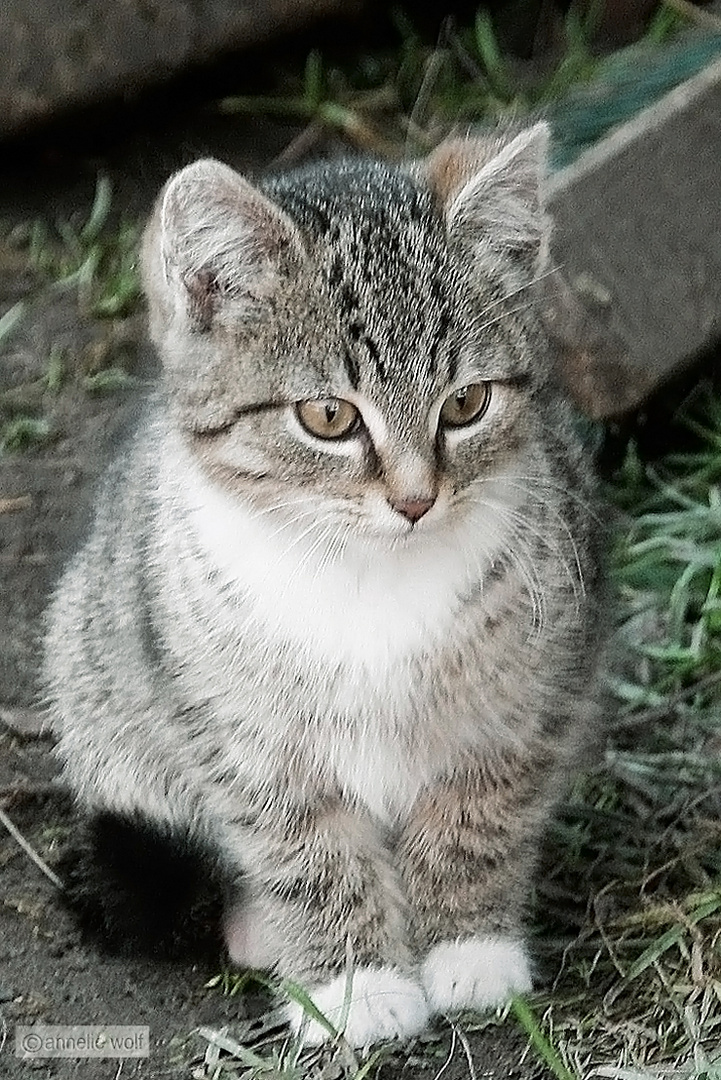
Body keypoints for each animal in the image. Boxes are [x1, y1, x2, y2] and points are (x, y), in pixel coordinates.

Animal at [42, 124, 604, 1045]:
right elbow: (306, 851)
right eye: (329, 417)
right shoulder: (238, 735)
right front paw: (355, 983)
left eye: (466, 404)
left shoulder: (526, 700)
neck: (367, 575)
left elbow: (477, 817)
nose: (415, 500)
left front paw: (468, 948)